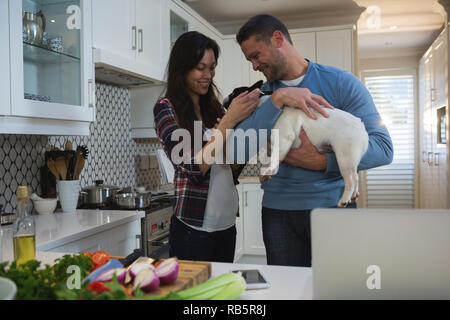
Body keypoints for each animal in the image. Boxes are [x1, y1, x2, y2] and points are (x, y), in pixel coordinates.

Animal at [223, 80, 368, 208]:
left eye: (234, 93)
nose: (225, 99)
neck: (262, 103)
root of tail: (361, 126)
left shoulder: (283, 137)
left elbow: (276, 157)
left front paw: (270, 170)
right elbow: (269, 156)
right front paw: (265, 169)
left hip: (344, 156)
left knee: (351, 179)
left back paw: (344, 200)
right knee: (355, 177)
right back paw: (352, 196)